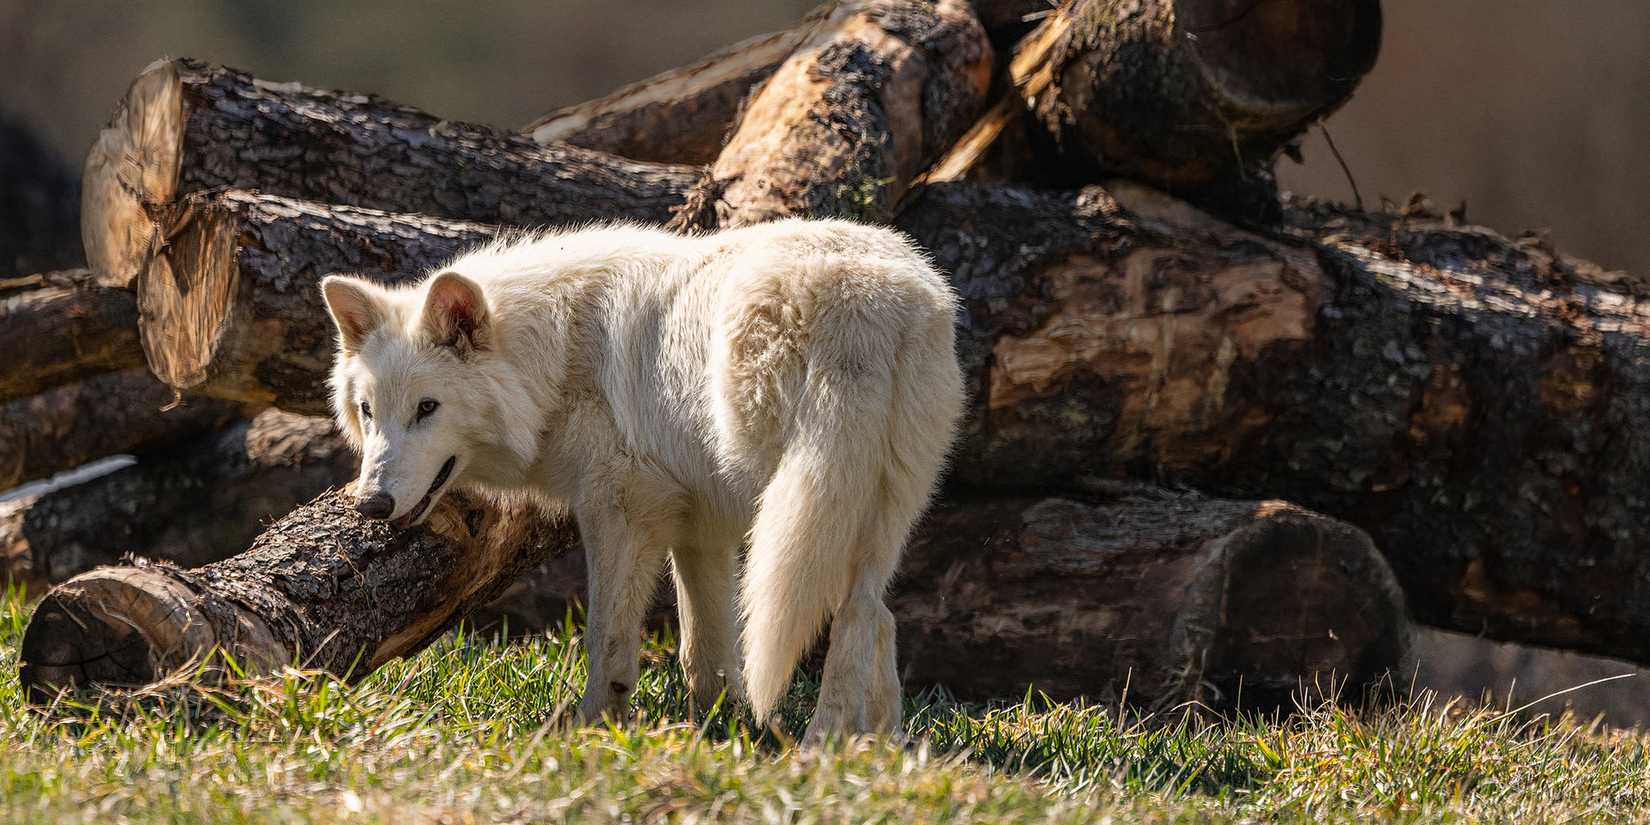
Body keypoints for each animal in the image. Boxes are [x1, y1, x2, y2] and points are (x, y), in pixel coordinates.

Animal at [319, 218, 964, 741]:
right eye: (368, 411)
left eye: (427, 409)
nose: (371, 504)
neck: (555, 358)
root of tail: (868, 300)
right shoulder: (700, 530)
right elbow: (704, 652)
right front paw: (718, 731)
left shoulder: (622, 512)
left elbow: (607, 641)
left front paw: (590, 729)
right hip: (867, 515)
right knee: (872, 615)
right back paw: (872, 748)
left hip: (790, 509)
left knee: (849, 618)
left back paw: (820, 749)